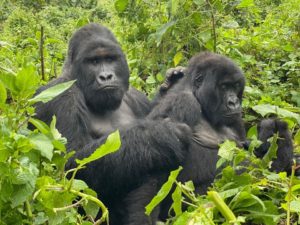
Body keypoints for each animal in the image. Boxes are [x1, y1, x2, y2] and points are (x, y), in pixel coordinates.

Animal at [32, 23, 191, 225]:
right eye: (93, 61)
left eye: (110, 59)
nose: (106, 76)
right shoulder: (61, 96)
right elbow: (71, 165)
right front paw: (162, 135)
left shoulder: (136, 97)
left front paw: (170, 84)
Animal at [125, 51, 296, 224]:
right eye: (224, 86)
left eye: (235, 86)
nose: (234, 102)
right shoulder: (182, 102)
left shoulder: (235, 120)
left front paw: (271, 133)